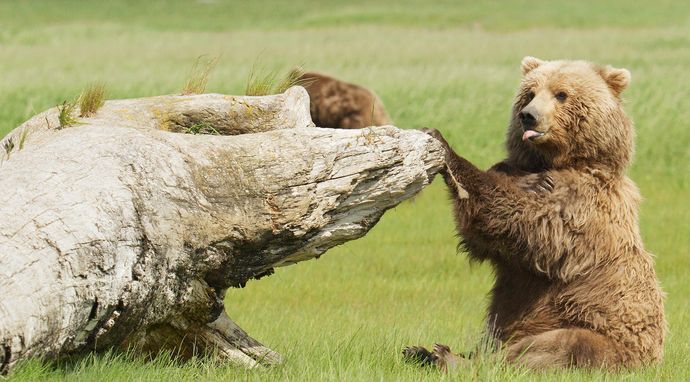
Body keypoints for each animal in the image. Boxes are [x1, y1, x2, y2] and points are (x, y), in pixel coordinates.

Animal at [406, 56, 664, 370]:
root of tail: (653, 360)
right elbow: (484, 233)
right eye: (529, 93)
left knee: (548, 347)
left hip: (596, 334)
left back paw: (448, 356)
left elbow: (523, 224)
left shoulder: (584, 204)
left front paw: (443, 144)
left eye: (561, 94)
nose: (528, 115)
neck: (557, 160)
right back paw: (421, 352)